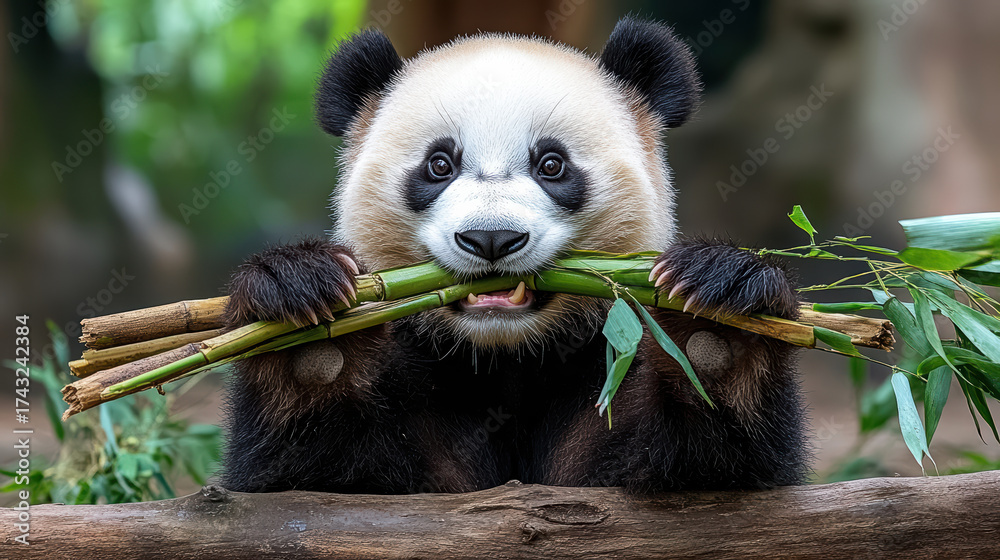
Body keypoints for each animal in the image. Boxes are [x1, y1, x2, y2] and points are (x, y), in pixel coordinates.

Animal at [220, 17, 808, 494]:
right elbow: (306, 473)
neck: (505, 358)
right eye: (439, 165)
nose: (491, 240)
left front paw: (717, 320)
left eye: (552, 164)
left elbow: (716, 462)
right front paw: (308, 320)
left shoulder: (597, 372)